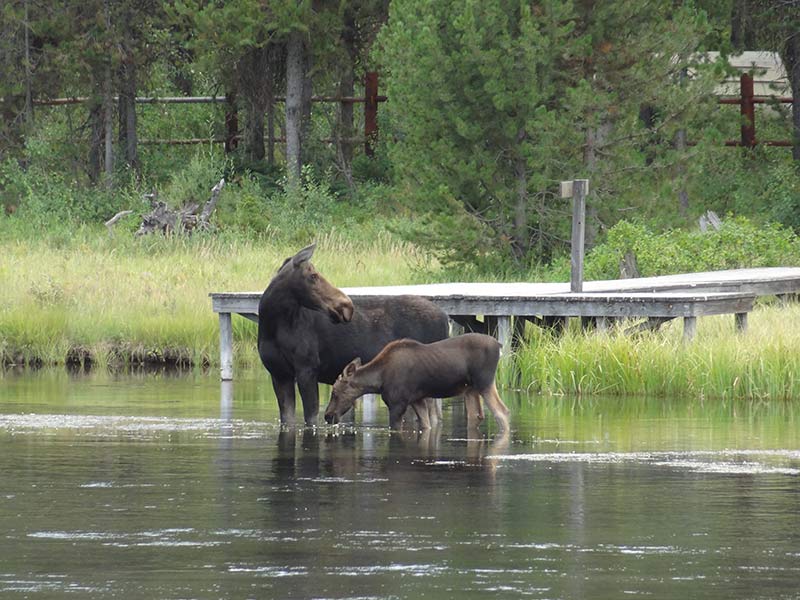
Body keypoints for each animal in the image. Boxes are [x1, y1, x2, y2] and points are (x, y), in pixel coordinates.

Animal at [260, 245, 454, 426]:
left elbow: (311, 419)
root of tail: (446, 318)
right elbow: (288, 419)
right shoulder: (279, 373)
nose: (346, 305)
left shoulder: (307, 369)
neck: (272, 326)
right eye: (313, 276)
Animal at [322, 332, 510, 432]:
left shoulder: (398, 404)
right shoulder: (417, 400)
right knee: (477, 415)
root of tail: (499, 346)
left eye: (335, 392)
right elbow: (426, 425)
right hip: (470, 389)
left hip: (485, 383)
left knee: (502, 412)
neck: (378, 381)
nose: (328, 416)